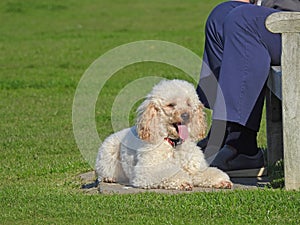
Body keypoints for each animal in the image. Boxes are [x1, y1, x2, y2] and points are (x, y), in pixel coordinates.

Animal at [96, 79, 232, 190]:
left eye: (188, 103)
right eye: (171, 105)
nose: (186, 115)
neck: (174, 144)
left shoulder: (195, 168)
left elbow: (206, 172)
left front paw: (221, 180)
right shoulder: (146, 171)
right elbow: (170, 173)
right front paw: (183, 182)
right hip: (108, 154)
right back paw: (109, 178)